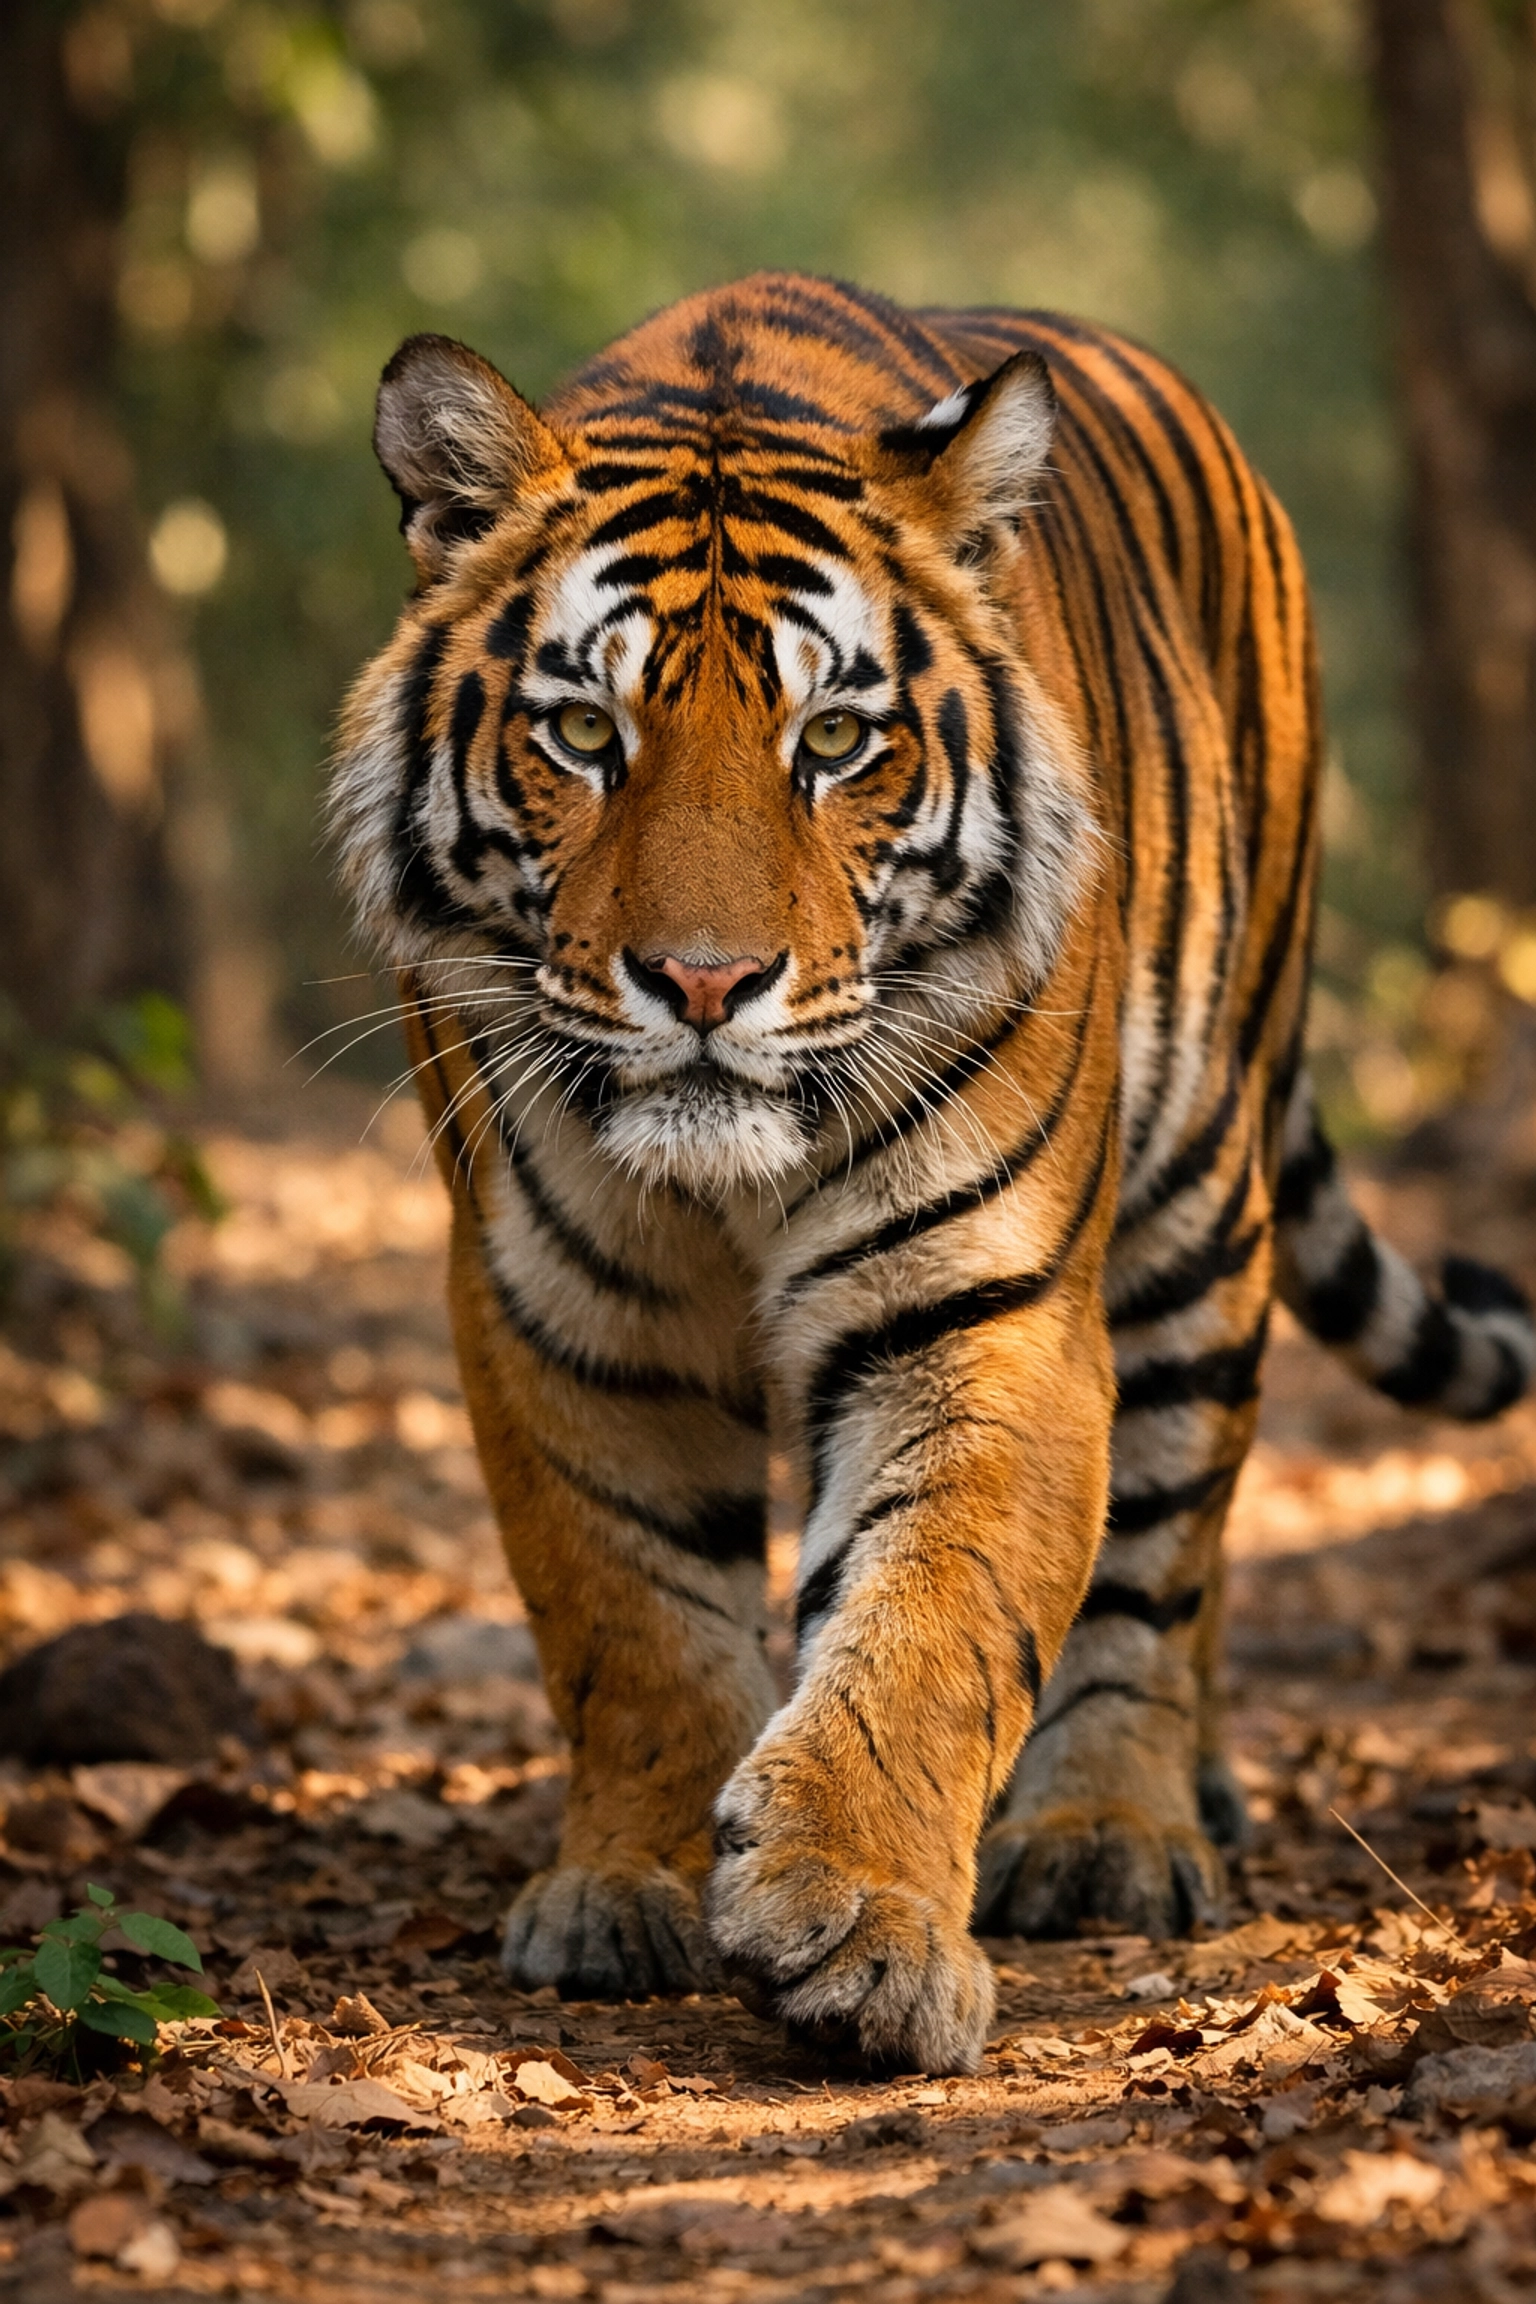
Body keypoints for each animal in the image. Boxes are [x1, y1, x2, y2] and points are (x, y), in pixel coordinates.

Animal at [331, 271, 1534, 2076]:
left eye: (834, 737)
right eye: (582, 730)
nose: (702, 981)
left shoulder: (981, 1300)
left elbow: (929, 1619)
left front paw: (858, 1916)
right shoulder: (561, 1309)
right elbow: (633, 1612)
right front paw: (629, 1879)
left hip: (1198, 1204)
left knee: (1169, 1542)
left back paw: (1116, 1827)